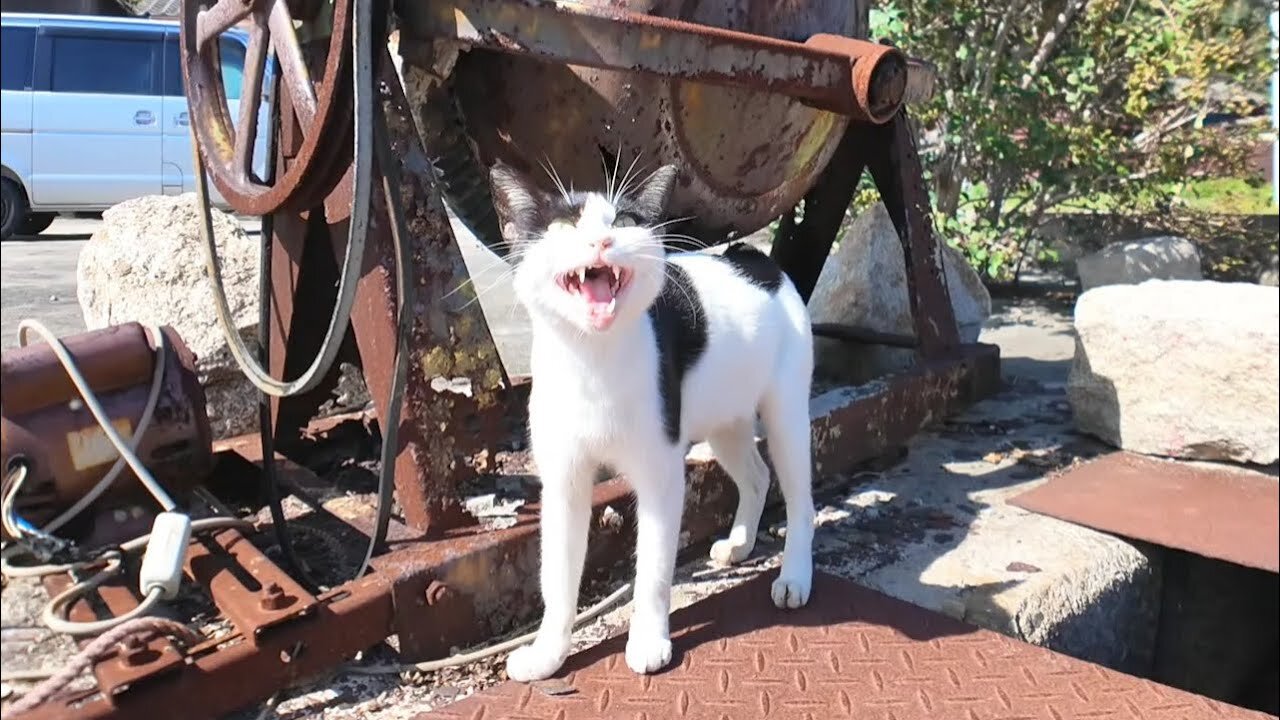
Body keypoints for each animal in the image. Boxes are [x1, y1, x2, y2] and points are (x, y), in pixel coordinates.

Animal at [488, 158, 819, 676]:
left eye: (623, 220)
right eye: (566, 223)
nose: (601, 241)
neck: (593, 361)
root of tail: (752, 256)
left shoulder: (660, 474)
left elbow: (653, 570)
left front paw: (648, 641)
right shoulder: (564, 482)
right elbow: (557, 579)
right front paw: (548, 656)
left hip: (786, 411)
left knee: (801, 497)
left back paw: (795, 576)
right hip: (724, 419)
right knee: (757, 475)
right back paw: (740, 543)